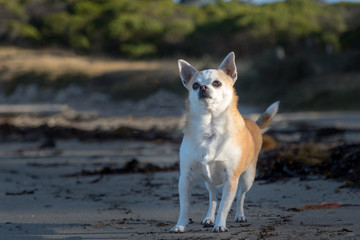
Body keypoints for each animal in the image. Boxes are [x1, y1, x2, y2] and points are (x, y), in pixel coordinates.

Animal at [170, 52, 280, 232]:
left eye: (217, 83)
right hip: (209, 181)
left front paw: (220, 225)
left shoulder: (231, 179)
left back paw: (239, 216)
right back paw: (209, 218)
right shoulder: (185, 178)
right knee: (213, 197)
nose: (203, 87)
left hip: (247, 178)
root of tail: (254, 125)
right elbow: (184, 205)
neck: (210, 128)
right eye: (195, 85)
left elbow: (224, 206)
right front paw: (180, 226)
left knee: (240, 196)